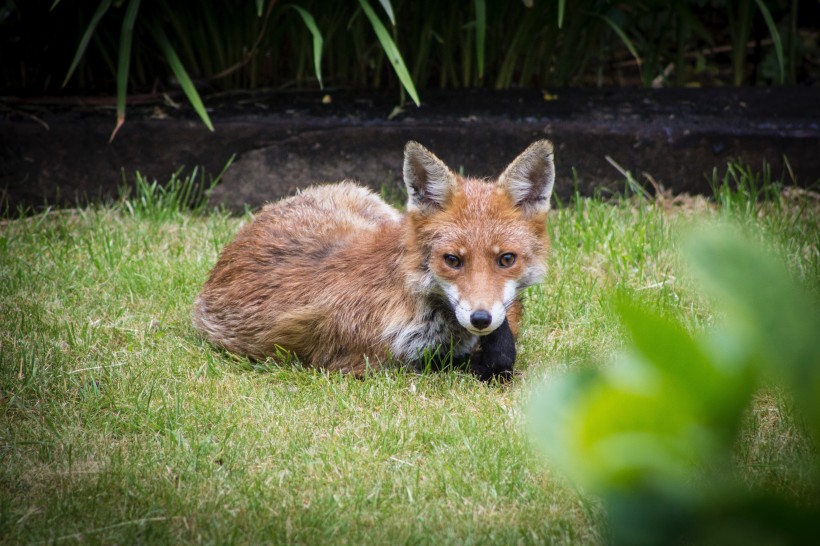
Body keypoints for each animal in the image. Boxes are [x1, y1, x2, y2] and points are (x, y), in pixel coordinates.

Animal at [192, 140, 556, 378]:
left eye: (506, 259)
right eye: (452, 260)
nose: (481, 318)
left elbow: (506, 336)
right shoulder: (376, 363)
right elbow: (492, 356)